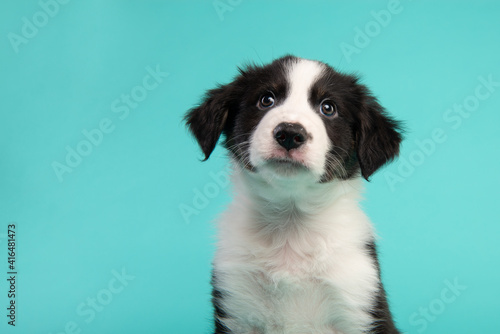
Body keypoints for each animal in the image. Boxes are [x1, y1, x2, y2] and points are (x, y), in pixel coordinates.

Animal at [185, 55, 402, 334]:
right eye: (266, 100)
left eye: (328, 108)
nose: (289, 133)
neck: (290, 222)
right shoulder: (236, 306)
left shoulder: (359, 303)